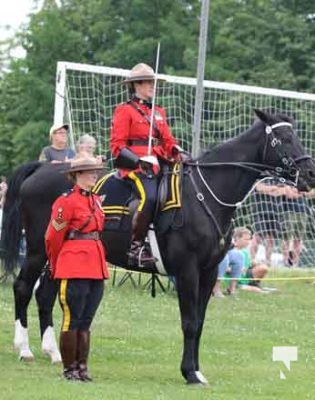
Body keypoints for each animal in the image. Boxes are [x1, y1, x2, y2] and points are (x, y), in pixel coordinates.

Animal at [2, 109, 315, 384]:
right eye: (283, 139)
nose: (309, 173)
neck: (206, 194)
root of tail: (41, 168)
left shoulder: (209, 272)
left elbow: (200, 322)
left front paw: (197, 370)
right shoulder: (187, 270)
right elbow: (189, 321)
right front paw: (190, 373)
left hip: (59, 255)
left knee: (44, 295)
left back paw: (53, 352)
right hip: (37, 250)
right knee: (23, 288)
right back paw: (25, 349)